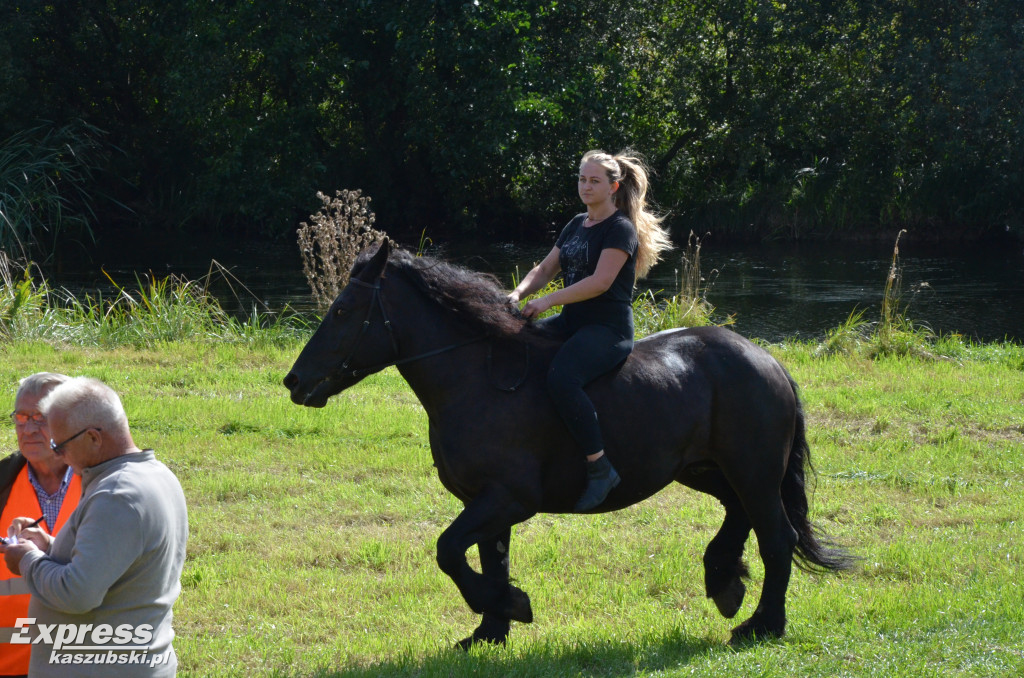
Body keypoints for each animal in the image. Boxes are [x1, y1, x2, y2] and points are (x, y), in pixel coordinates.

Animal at [283, 239, 851, 649]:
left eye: (343, 310)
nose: (294, 381)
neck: (477, 380)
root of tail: (766, 359)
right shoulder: (486, 503)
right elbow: (487, 558)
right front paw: (490, 630)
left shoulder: (509, 499)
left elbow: (449, 552)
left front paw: (511, 606)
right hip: (705, 469)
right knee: (740, 515)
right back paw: (725, 582)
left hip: (753, 470)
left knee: (777, 536)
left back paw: (762, 625)